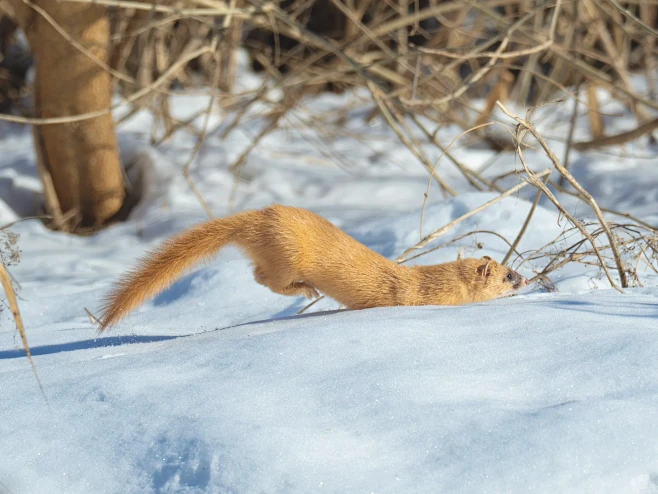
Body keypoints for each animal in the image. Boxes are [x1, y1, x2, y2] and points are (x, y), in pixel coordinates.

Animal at [98, 205, 528, 332]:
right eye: (508, 275)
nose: (527, 277)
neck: (424, 283)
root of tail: (263, 215)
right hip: (286, 256)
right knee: (264, 277)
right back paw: (306, 290)